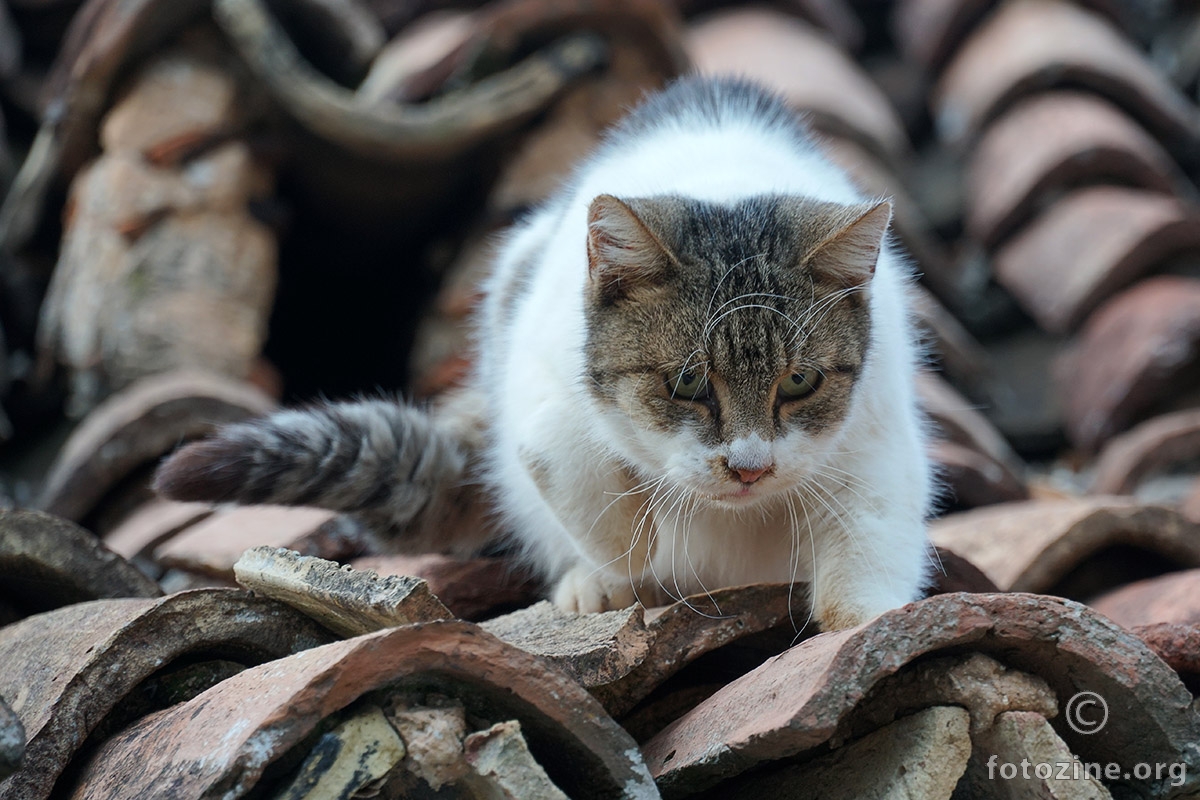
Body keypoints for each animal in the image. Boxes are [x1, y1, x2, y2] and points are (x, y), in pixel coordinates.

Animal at [152, 74, 936, 633]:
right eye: (686, 383)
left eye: (799, 382)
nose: (749, 469)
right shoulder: (537, 373)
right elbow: (567, 455)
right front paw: (624, 558)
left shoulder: (880, 430)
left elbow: (874, 524)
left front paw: (868, 622)